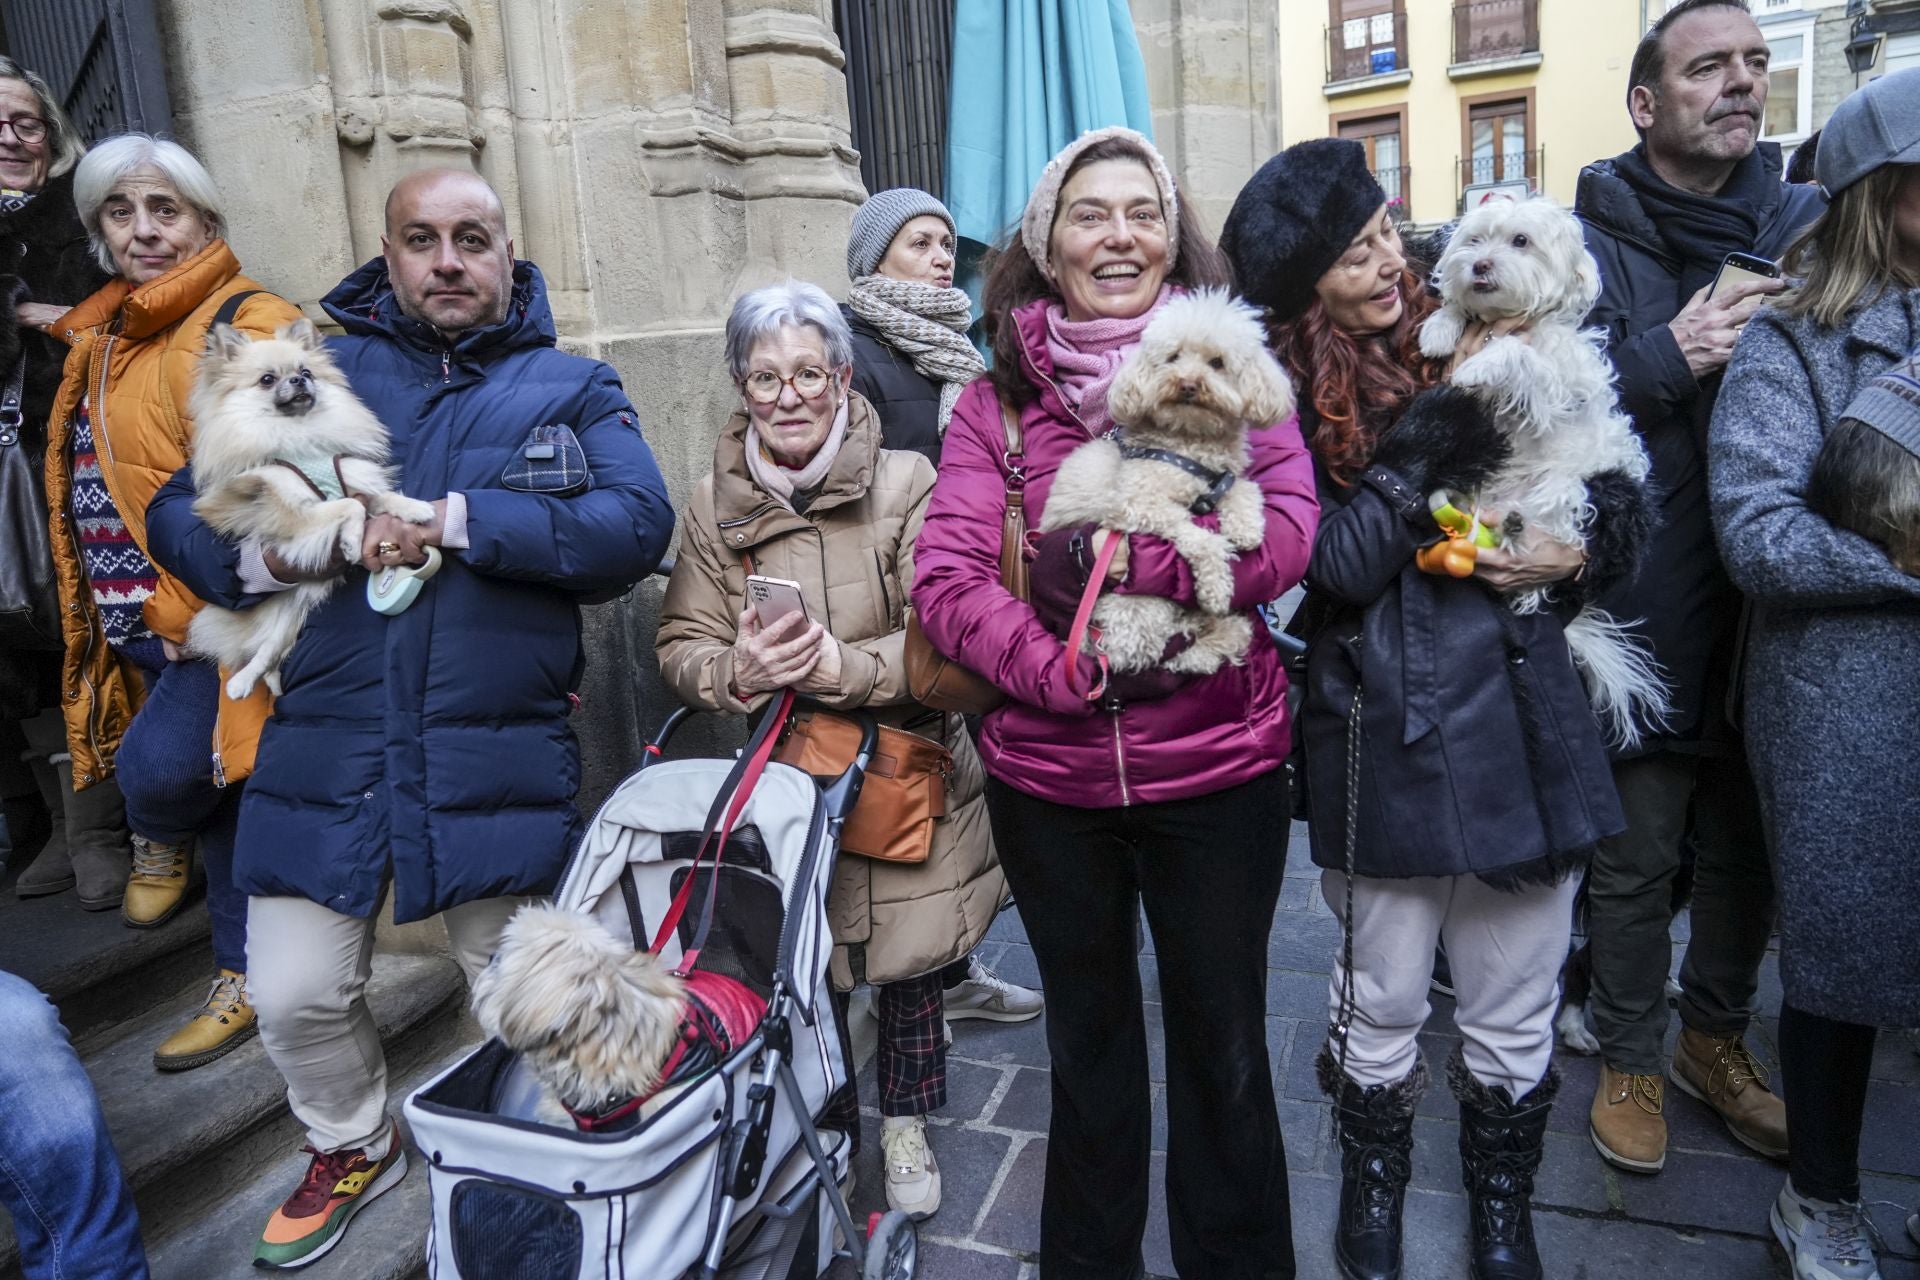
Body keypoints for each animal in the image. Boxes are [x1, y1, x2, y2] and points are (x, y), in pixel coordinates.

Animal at [185, 322, 437, 702]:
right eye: (267, 379)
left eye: (306, 372)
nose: (299, 381)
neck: (300, 433)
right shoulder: (292, 514)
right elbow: (349, 506)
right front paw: (351, 542)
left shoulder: (354, 482)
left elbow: (381, 497)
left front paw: (417, 509)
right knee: (264, 652)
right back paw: (240, 683)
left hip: (291, 617)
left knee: (269, 653)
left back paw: (259, 681)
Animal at [1044, 285, 1297, 675]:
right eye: (1173, 357)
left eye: (1217, 362)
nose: (1188, 384)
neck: (1188, 441)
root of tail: (1091, 646)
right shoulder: (1137, 505)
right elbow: (1202, 538)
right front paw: (1216, 586)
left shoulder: (1222, 477)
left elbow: (1244, 487)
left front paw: (1246, 527)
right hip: (1136, 609)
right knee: (1170, 650)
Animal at [1420, 193, 1674, 744]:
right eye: (1475, 240)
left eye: (1521, 241)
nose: (1479, 265)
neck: (1515, 318)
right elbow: (1456, 310)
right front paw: (1439, 327)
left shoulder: (1553, 392)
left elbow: (1516, 355)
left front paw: (1481, 362)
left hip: (1563, 492)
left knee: (1547, 548)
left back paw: (1518, 535)